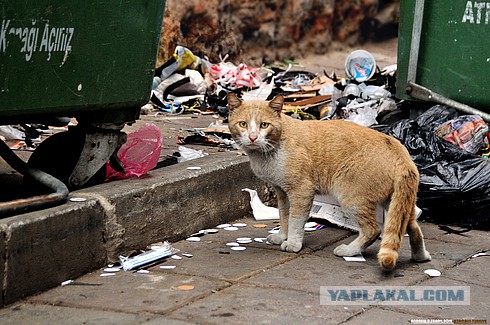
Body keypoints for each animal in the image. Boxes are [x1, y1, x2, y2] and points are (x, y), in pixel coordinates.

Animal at [228, 92, 430, 270]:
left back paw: (348, 251)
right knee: (411, 227)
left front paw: (292, 243)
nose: (253, 137)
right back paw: (420, 256)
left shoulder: (301, 191)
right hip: (397, 202)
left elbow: (295, 220)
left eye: (264, 125)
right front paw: (281, 236)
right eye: (243, 124)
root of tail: (401, 152)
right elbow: (284, 216)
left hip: (352, 199)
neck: (268, 153)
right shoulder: (282, 191)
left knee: (373, 230)